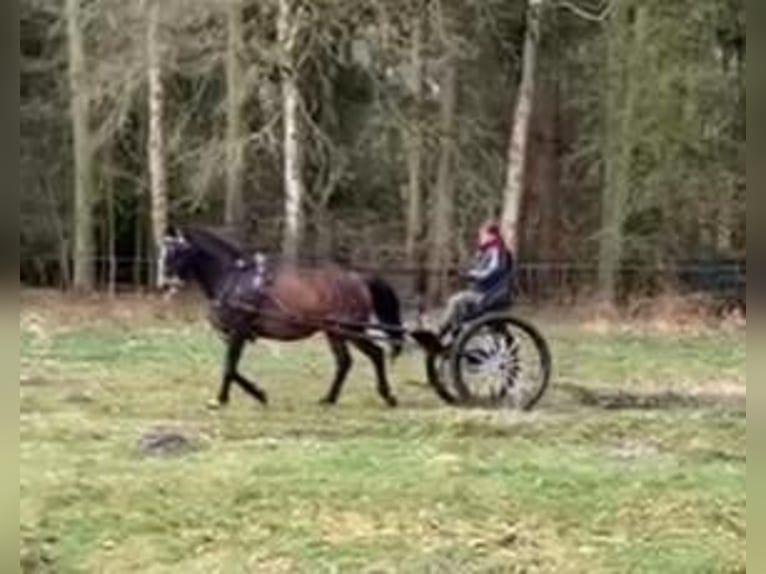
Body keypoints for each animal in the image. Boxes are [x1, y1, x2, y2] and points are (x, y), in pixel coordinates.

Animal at [159, 226, 404, 408]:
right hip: (334, 332)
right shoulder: (233, 336)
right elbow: (233, 369)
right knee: (345, 362)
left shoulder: (238, 332)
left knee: (375, 354)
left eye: (177, 251)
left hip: (351, 330)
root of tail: (358, 279)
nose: (164, 284)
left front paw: (224, 399)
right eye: (165, 251)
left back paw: (388, 396)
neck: (234, 279)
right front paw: (255, 394)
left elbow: (229, 367)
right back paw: (329, 399)